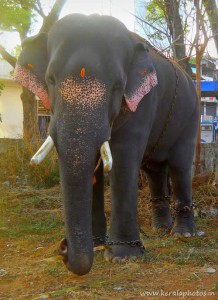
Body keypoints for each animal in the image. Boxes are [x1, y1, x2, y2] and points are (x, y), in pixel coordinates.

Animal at [12, 14, 198, 276]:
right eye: (50, 80)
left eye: (118, 86)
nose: (63, 247)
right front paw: (97, 246)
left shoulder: (143, 102)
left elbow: (123, 159)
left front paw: (122, 257)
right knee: (154, 169)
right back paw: (160, 229)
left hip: (191, 115)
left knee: (180, 165)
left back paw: (183, 235)